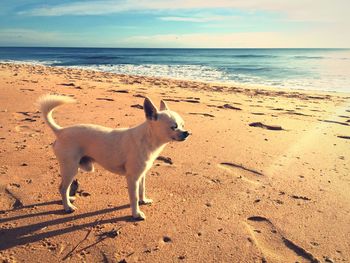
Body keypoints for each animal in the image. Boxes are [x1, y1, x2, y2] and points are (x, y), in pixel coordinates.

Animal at [37, 95, 189, 221]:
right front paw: (136, 213)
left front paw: (143, 200)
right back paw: (67, 207)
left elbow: (142, 189)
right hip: (71, 168)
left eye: (183, 125)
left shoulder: (141, 175)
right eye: (174, 127)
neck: (148, 139)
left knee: (65, 187)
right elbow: (134, 197)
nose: (187, 132)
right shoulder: (132, 178)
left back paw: (69, 199)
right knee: (62, 187)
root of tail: (60, 131)